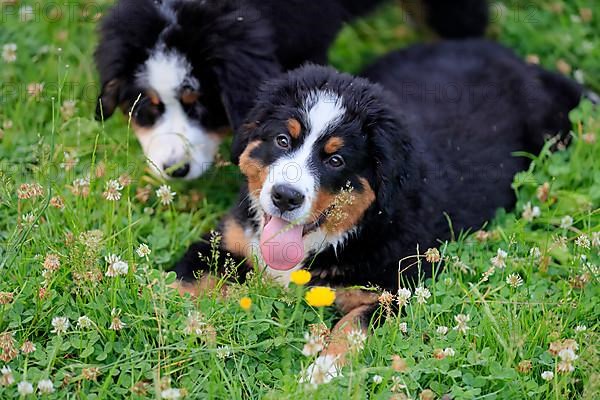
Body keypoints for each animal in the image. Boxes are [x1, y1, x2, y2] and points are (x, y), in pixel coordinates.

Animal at [172, 39, 580, 376]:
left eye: (335, 160)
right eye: (282, 139)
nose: (285, 196)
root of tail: (517, 61)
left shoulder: (392, 290)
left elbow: (348, 330)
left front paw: (317, 377)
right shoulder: (226, 243)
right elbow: (181, 283)